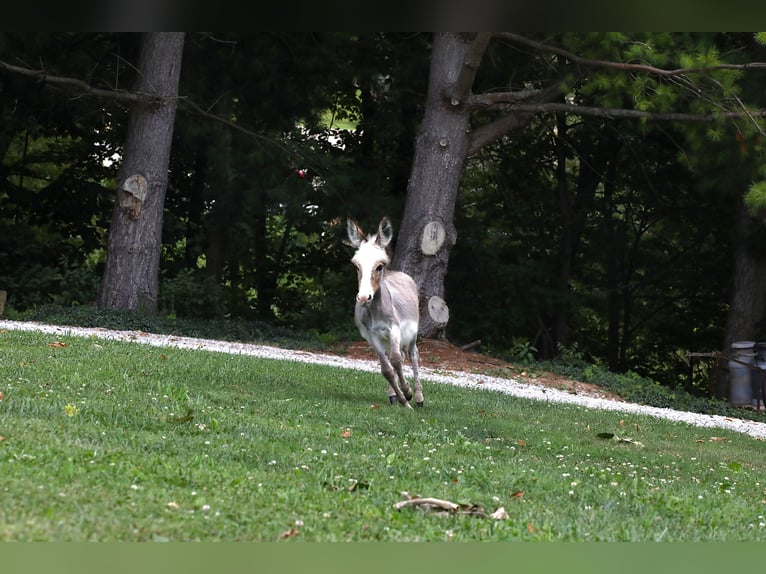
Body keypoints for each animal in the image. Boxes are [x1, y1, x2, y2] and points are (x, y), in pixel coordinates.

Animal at [350, 216, 426, 410]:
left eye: (379, 266)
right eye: (357, 266)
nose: (363, 297)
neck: (376, 311)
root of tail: (399, 273)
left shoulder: (395, 329)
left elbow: (397, 360)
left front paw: (407, 393)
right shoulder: (372, 336)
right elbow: (387, 369)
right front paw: (403, 399)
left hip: (412, 334)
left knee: (413, 355)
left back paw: (418, 397)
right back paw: (394, 395)